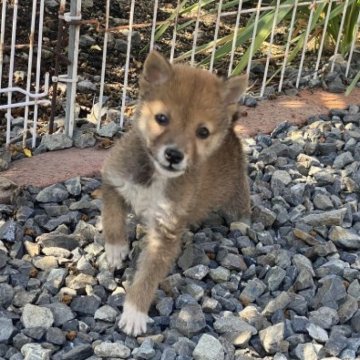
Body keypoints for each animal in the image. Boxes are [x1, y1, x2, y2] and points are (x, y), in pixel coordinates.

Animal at [100, 50, 250, 334]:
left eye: (202, 132)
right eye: (162, 118)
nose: (173, 155)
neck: (155, 178)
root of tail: (233, 134)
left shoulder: (165, 233)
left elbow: (147, 277)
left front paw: (134, 312)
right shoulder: (114, 182)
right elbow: (111, 219)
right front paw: (115, 250)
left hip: (235, 196)